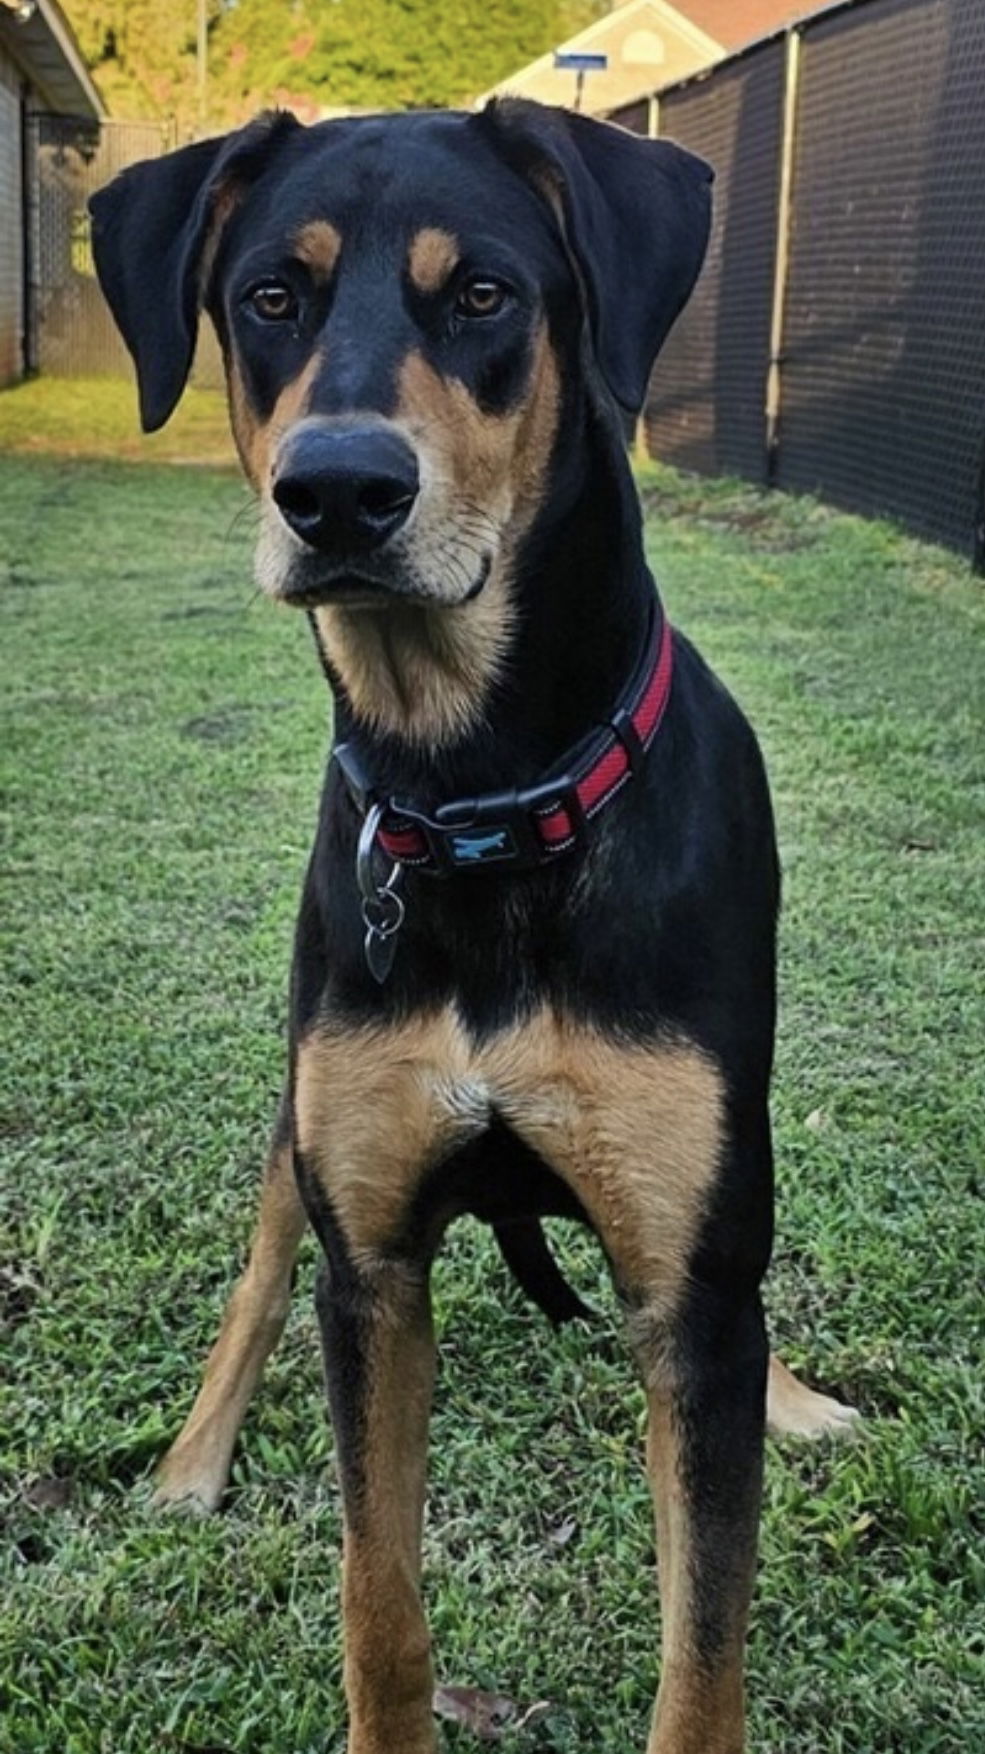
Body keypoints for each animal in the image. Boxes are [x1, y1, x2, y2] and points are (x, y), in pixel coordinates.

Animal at [90, 106, 851, 1754]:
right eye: (269, 297)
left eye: (487, 295)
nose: (336, 491)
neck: (481, 793)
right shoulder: (370, 1262)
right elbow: (378, 1603)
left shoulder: (694, 1283)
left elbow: (703, 1653)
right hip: (297, 1117)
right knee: (258, 1261)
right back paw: (190, 1459)